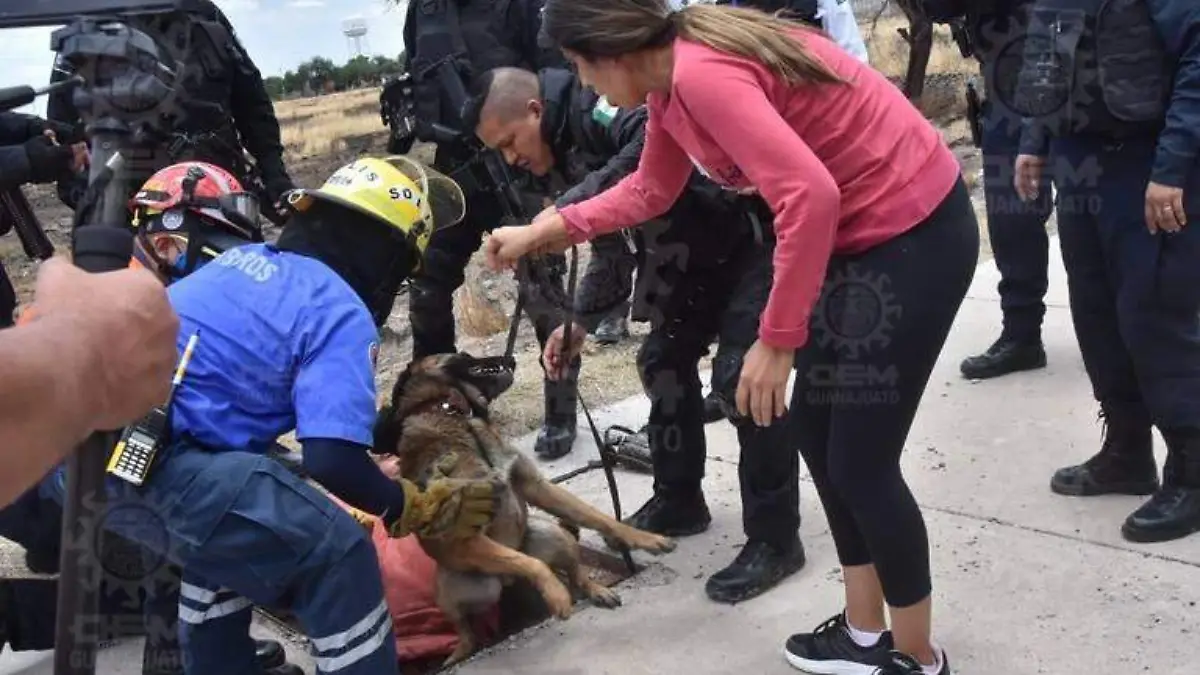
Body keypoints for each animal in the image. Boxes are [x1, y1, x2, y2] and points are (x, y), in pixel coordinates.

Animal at [374, 353, 676, 662]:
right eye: (464, 355)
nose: (510, 357)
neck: (454, 413)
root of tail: (507, 581)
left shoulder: (536, 486)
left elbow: (598, 517)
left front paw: (645, 538)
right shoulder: (463, 536)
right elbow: (534, 565)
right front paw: (556, 595)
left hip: (555, 535)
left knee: (575, 572)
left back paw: (597, 590)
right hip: (449, 587)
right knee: (468, 625)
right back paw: (460, 651)